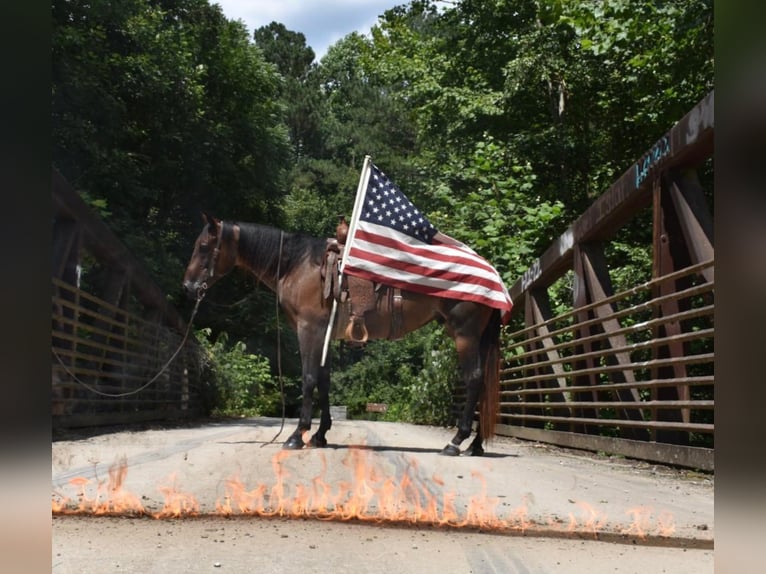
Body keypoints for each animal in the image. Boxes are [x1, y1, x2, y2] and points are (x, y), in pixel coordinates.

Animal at [182, 214, 504, 456]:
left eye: (203, 245)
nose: (188, 287)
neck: (297, 266)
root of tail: (491, 272)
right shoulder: (324, 335)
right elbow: (324, 382)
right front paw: (320, 435)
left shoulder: (309, 330)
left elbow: (309, 378)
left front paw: (297, 435)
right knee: (484, 382)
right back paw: (475, 445)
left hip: (464, 335)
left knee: (474, 379)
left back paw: (455, 442)